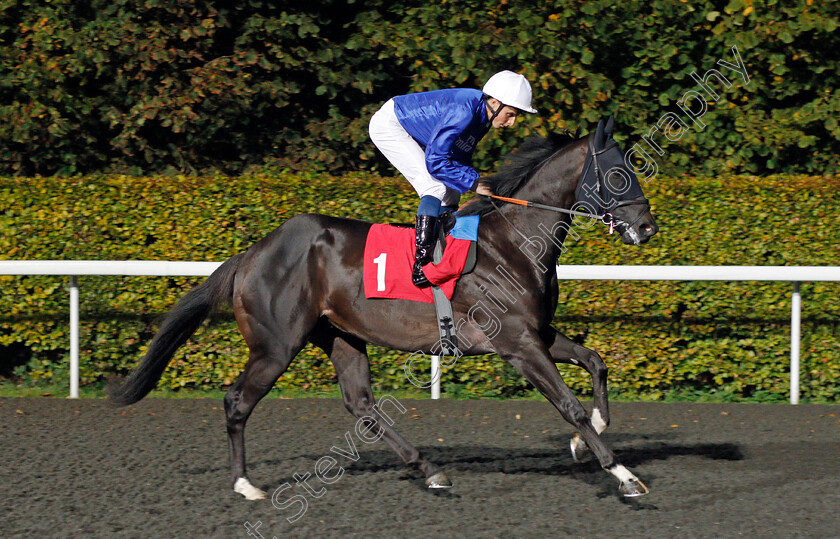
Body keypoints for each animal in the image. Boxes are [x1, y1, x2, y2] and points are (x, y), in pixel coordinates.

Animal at [111, 118, 660, 502]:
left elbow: (596, 363)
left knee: (362, 406)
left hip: (339, 335)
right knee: (237, 401)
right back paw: (245, 485)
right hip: (276, 345)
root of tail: (253, 253)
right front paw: (623, 475)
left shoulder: (536, 332)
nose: (647, 228)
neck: (514, 243)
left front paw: (586, 440)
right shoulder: (517, 344)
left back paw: (430, 470)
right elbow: (567, 403)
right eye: (619, 174)